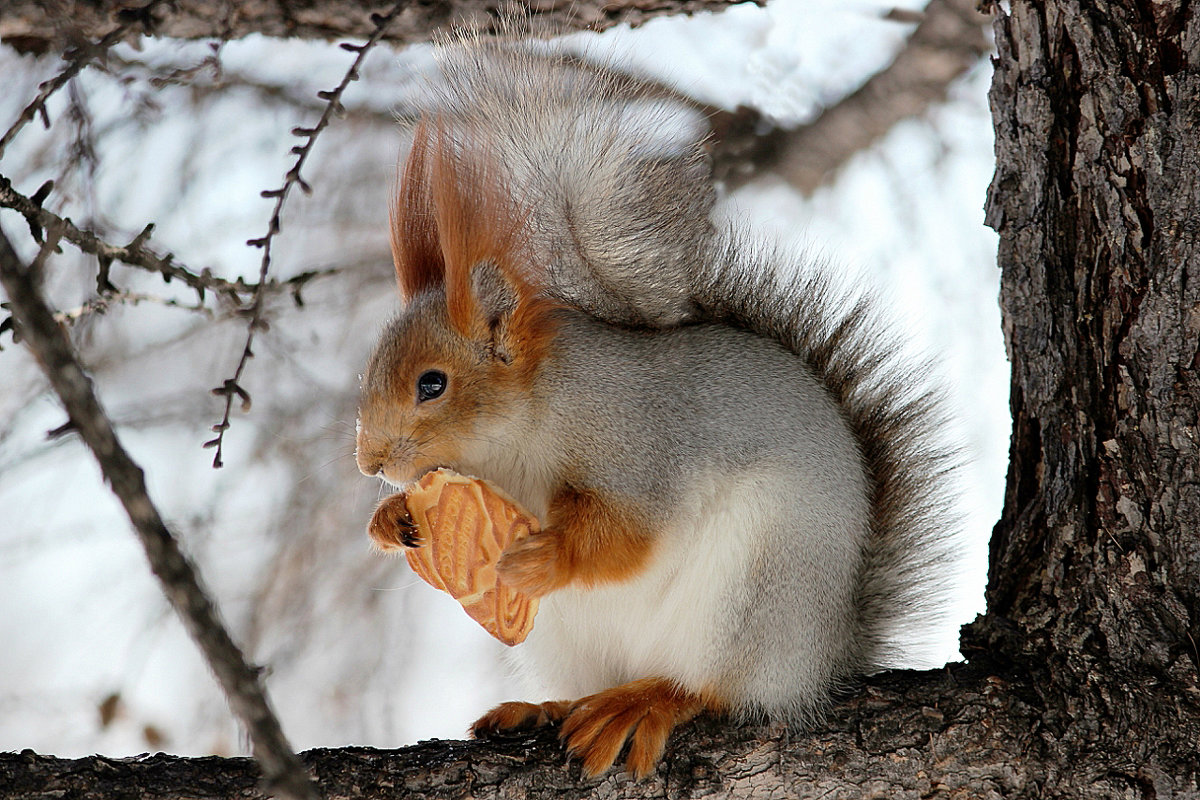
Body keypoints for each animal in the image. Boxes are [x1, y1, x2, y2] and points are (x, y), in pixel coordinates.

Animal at [350, 35, 960, 782]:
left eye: (432, 385)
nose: (369, 461)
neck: (517, 437)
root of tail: (823, 656)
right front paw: (391, 517)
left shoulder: (640, 444)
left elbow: (627, 534)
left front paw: (539, 558)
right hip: (567, 638)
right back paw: (547, 707)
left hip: (750, 592)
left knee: (714, 689)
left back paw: (646, 703)